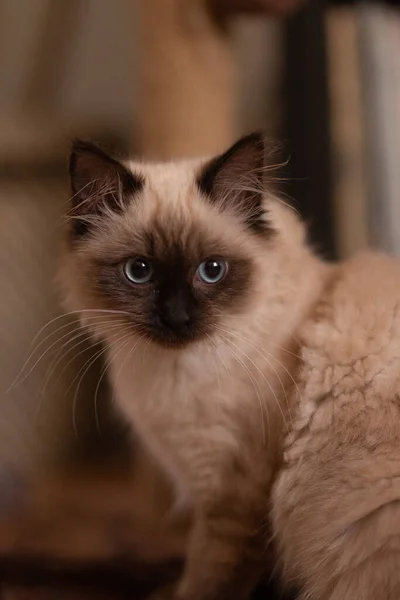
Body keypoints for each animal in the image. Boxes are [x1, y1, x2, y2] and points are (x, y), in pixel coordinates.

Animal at [58, 132, 400, 600]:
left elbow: (206, 578)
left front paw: (175, 593)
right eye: (139, 271)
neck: (173, 372)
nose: (177, 317)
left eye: (212, 270)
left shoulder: (231, 498)